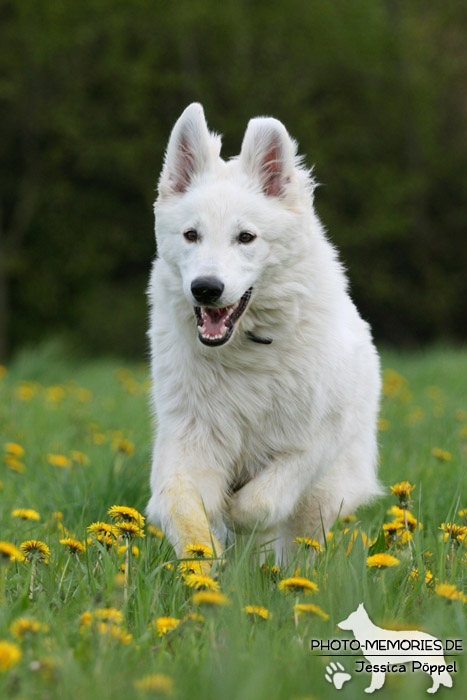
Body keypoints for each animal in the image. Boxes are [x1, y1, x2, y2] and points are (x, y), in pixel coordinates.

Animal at [147, 105, 384, 564]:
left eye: (246, 237)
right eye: (191, 235)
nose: (205, 288)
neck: (247, 350)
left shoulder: (312, 444)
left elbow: (259, 504)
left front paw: (236, 514)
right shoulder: (189, 438)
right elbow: (182, 506)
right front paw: (204, 563)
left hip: (325, 493)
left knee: (302, 542)